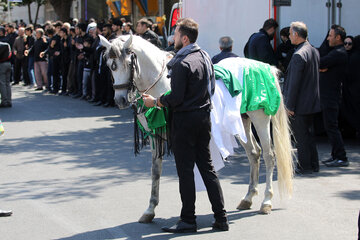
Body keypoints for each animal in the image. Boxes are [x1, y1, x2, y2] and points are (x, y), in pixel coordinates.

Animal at [100, 35, 294, 223]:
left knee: (269, 156)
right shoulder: (157, 135)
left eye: (127, 63)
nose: (120, 100)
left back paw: (266, 201)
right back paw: (248, 198)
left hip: (260, 120)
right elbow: (156, 171)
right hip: (242, 123)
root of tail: (265, 67)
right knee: (254, 153)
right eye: (110, 66)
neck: (162, 85)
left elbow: (184, 172)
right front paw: (150, 210)